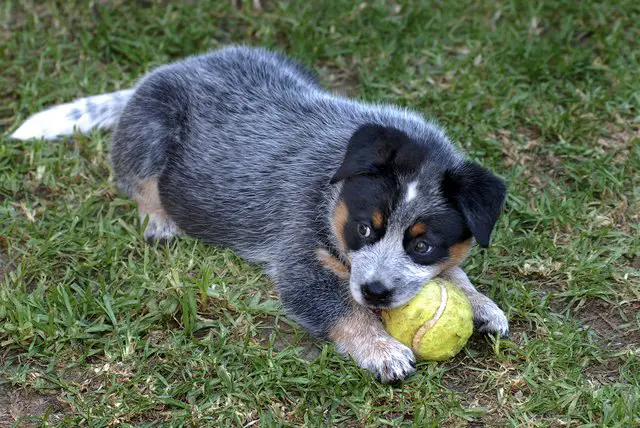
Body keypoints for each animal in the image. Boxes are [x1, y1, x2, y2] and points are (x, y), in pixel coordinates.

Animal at [11, 45, 510, 382]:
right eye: (364, 229)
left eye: (422, 245)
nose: (375, 292)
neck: (333, 186)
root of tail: (167, 70)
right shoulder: (299, 255)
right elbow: (339, 307)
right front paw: (381, 349)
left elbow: (455, 270)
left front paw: (481, 303)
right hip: (154, 123)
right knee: (137, 176)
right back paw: (160, 221)